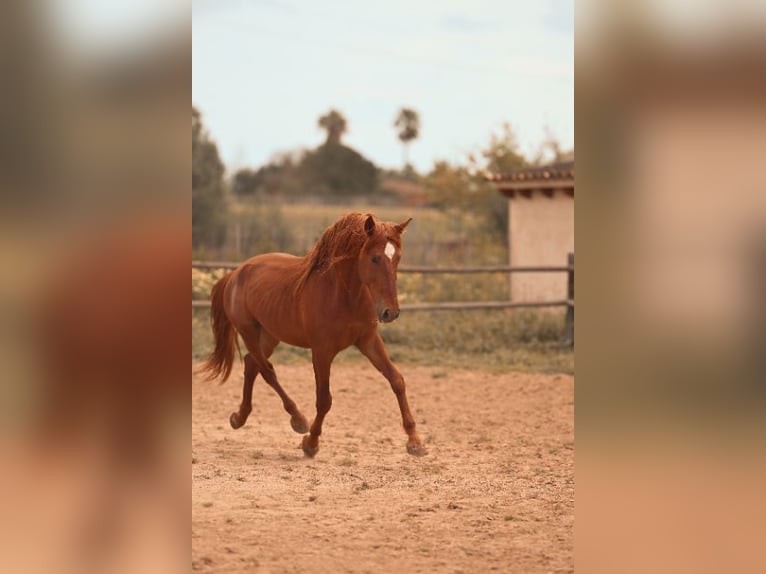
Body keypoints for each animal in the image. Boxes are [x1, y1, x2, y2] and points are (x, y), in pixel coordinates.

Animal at [199, 212, 426, 457]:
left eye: (398, 258)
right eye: (375, 258)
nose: (390, 312)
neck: (344, 295)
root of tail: (236, 272)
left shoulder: (368, 340)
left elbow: (396, 380)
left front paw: (415, 442)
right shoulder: (321, 351)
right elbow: (324, 399)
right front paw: (311, 443)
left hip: (270, 335)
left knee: (252, 364)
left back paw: (239, 418)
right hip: (248, 331)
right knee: (267, 370)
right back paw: (298, 420)